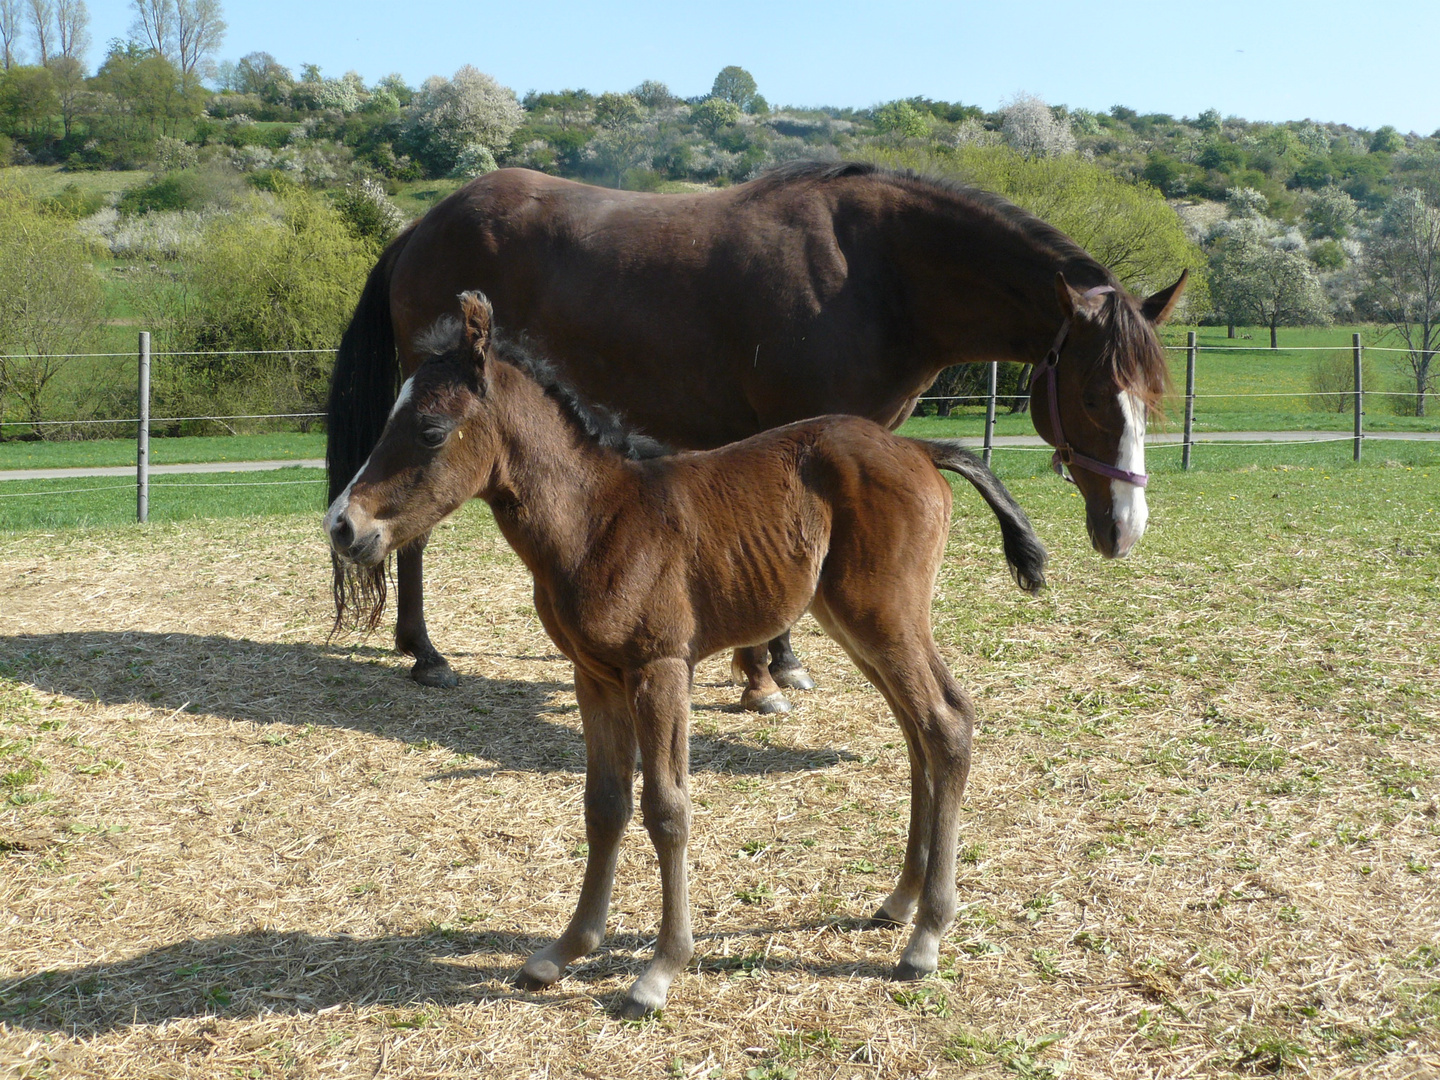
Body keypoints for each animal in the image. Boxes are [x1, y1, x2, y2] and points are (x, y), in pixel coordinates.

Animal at [326, 293, 1048, 1013]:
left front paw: (660, 971)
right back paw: (899, 903)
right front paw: (565, 950)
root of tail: (918, 447)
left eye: (429, 430)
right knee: (918, 732)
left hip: (885, 617)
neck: (596, 519)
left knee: (946, 723)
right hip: (854, 621)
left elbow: (667, 809)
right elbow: (604, 805)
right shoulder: (594, 676)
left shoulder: (662, 668)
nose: (342, 525)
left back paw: (926, 937)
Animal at [331, 160, 1186, 702]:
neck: (877, 272)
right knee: (413, 532)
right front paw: (765, 674)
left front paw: (773, 668)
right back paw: (426, 654)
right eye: (1092, 393)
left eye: (1151, 396)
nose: (1125, 528)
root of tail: (420, 226)